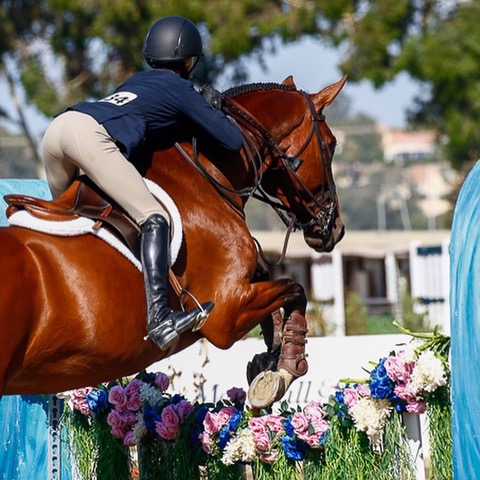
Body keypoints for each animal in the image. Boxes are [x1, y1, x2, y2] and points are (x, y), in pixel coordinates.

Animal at [0, 74, 344, 404]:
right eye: (330, 145)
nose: (335, 229)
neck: (207, 176)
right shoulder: (226, 314)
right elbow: (295, 290)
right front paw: (285, 369)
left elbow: (271, 281)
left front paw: (269, 354)